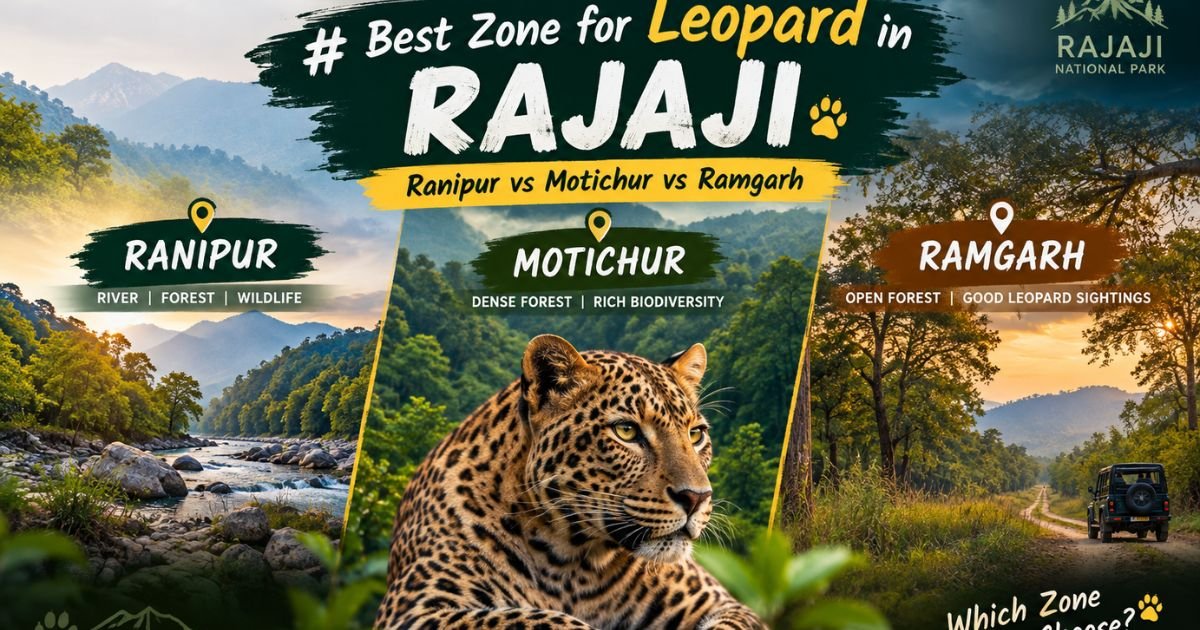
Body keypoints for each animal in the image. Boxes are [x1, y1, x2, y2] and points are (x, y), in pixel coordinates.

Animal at [375, 334, 763, 629]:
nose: (697, 497)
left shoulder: (723, 602)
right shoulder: (418, 608)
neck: (574, 565)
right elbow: (542, 620)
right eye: (626, 431)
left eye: (696, 435)